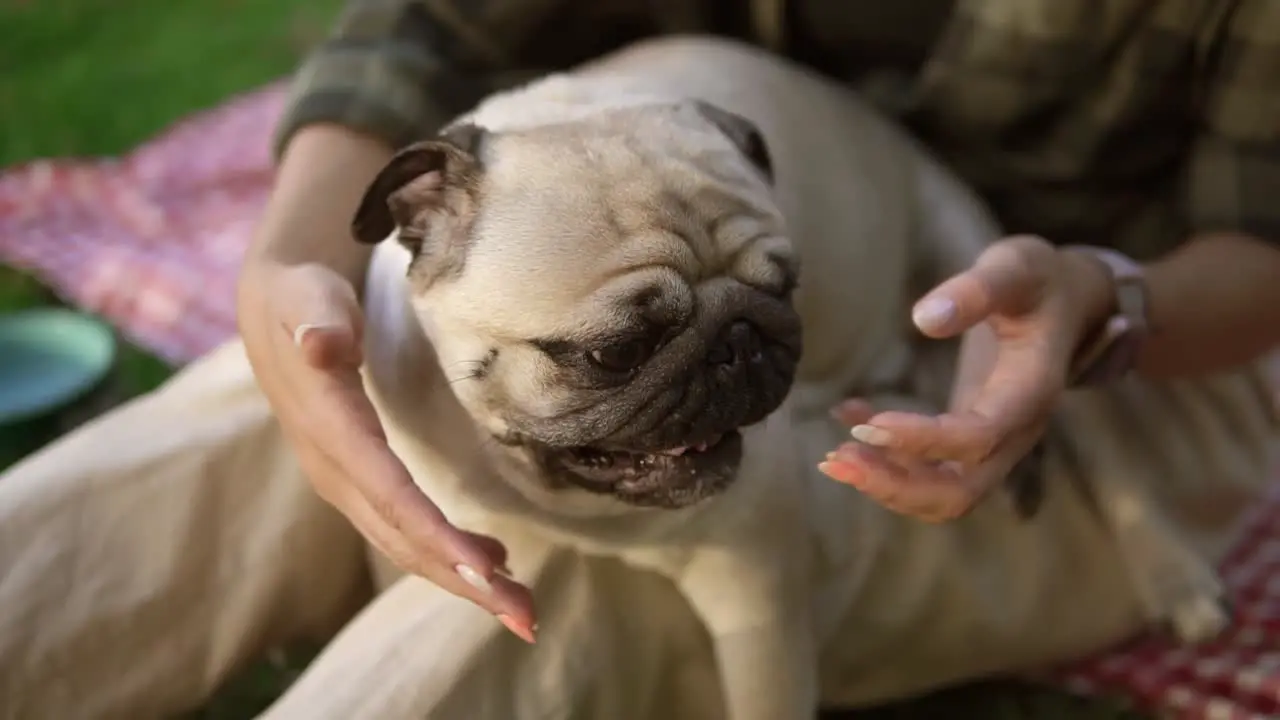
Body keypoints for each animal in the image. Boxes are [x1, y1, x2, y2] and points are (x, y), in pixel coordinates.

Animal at [353, 36, 1280, 717]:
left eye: (784, 288)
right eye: (612, 351)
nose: (741, 340)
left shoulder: (754, 592)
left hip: (984, 260)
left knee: (1106, 454)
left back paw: (1175, 576)